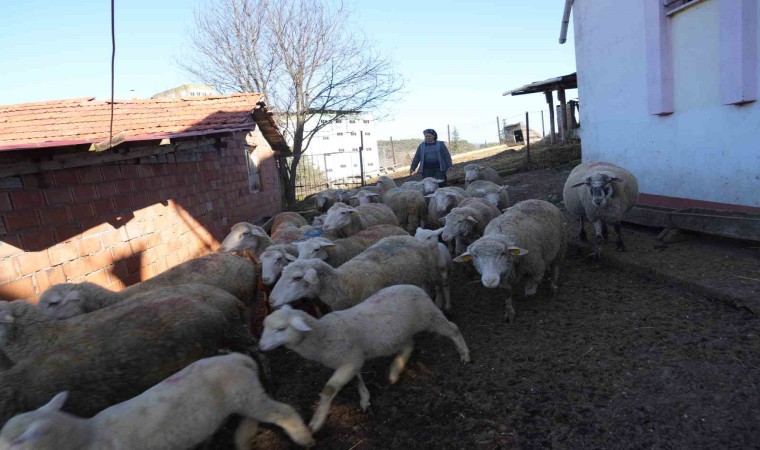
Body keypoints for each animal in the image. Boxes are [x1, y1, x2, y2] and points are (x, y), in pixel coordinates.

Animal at [0, 353, 314, 449]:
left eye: (11, 446)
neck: (86, 437)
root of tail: (238, 358)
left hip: (245, 394)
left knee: (282, 411)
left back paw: (304, 438)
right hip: (244, 395)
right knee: (256, 415)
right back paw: (242, 440)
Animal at [259, 285, 470, 432]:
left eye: (281, 329)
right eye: (265, 326)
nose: (261, 347)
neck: (324, 334)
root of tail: (416, 287)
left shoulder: (349, 360)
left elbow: (329, 390)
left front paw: (316, 421)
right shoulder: (352, 359)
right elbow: (357, 379)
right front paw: (365, 398)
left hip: (430, 316)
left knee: (453, 329)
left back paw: (464, 354)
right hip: (401, 332)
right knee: (409, 345)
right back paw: (395, 371)